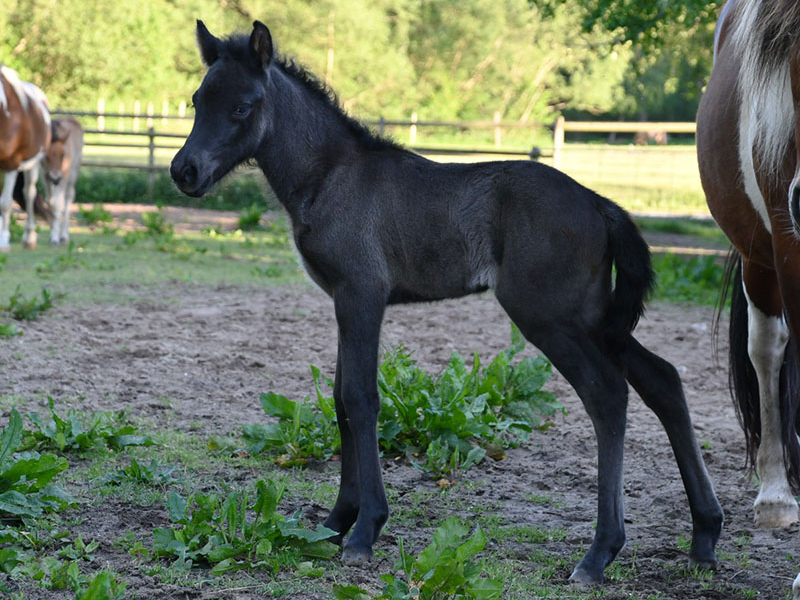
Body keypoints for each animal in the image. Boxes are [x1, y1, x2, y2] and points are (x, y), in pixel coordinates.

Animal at [0, 65, 51, 251]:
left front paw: (4, 241)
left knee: (29, 194)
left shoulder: (11, 165)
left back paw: (29, 237)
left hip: (32, 165)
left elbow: (5, 203)